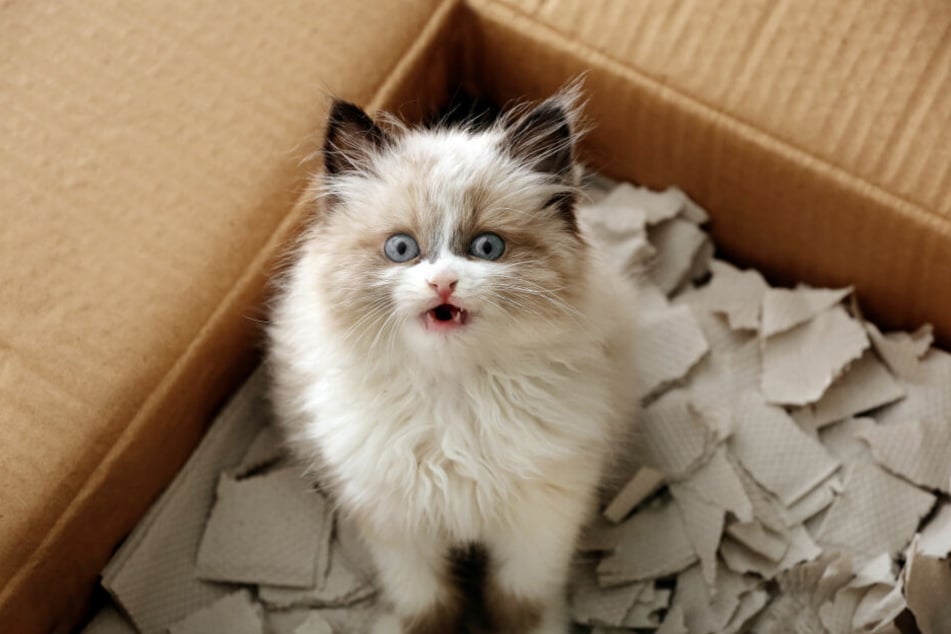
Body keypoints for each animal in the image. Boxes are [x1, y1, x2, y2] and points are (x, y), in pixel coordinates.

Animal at [266, 85, 640, 632]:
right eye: (402, 249)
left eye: (487, 247)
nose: (443, 282)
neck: (453, 397)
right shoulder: (397, 526)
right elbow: (426, 604)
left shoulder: (541, 522)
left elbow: (519, 603)